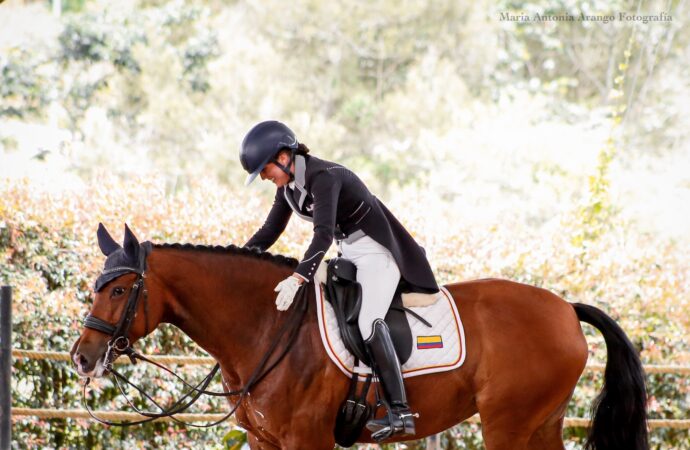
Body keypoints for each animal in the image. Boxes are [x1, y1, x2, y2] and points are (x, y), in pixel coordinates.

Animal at [70, 225, 648, 450]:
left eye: (118, 289)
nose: (82, 358)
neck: (266, 327)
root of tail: (565, 308)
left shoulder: (307, 439)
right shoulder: (265, 440)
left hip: (508, 425)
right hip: (540, 423)